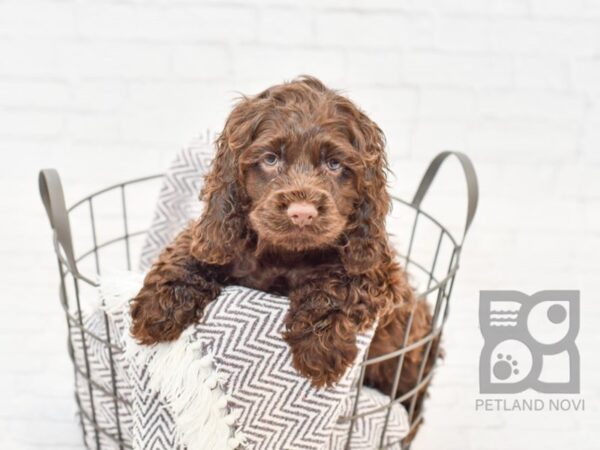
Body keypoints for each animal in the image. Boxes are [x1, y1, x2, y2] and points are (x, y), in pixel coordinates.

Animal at [130, 76, 432, 440]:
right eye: (271, 159)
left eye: (334, 164)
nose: (301, 213)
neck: (284, 254)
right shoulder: (219, 234)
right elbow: (192, 248)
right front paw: (158, 306)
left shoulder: (380, 267)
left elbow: (342, 280)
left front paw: (320, 349)